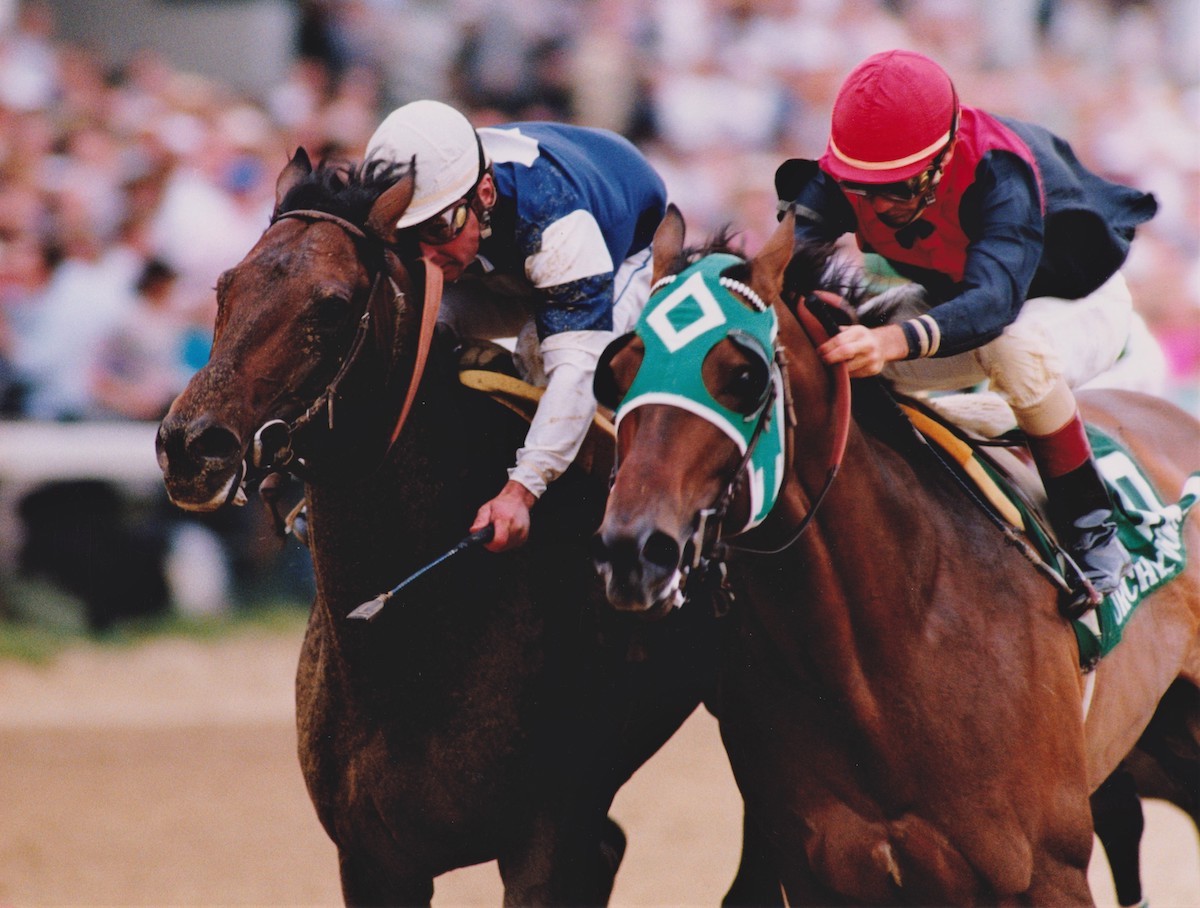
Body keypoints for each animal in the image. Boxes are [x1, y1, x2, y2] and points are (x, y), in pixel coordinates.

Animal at [154, 155, 768, 906]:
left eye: (332, 306)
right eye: (224, 286)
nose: (190, 445)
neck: (406, 638)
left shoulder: (544, 841)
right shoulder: (372, 858)